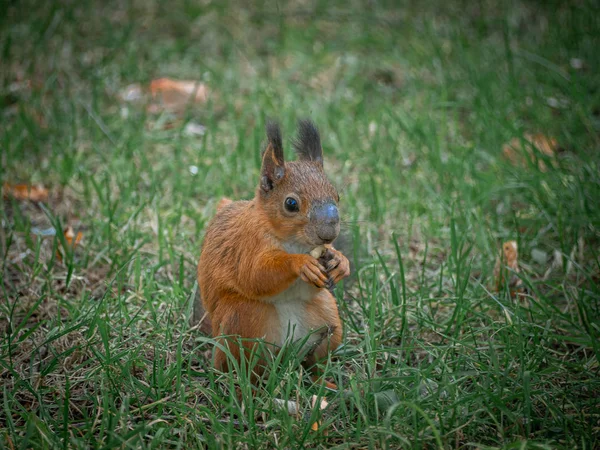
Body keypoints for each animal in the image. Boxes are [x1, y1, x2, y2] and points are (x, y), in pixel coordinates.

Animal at [197, 118, 350, 380]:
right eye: (291, 204)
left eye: (336, 195)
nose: (328, 233)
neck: (295, 242)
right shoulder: (247, 244)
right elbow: (255, 275)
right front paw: (301, 264)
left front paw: (341, 261)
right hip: (242, 317)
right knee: (247, 368)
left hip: (328, 313)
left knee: (315, 362)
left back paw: (323, 381)